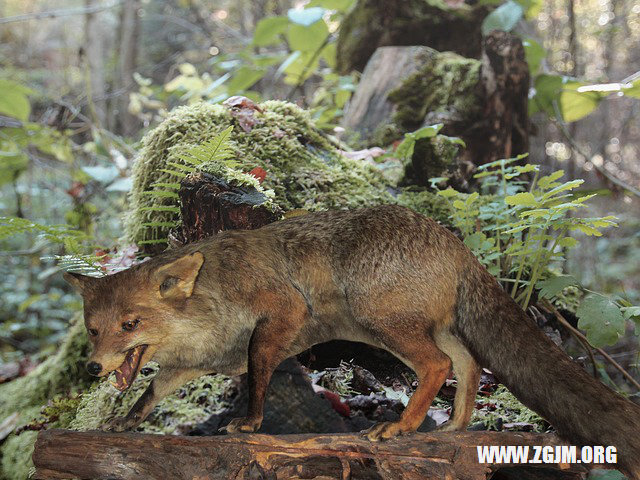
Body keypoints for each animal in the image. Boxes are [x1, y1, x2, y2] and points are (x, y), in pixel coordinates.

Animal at [66, 204, 640, 478]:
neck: (212, 298)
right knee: (468, 364)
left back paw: (402, 426)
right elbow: (151, 391)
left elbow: (258, 371)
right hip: (421, 327)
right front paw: (124, 422)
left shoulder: (280, 313)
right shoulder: (193, 362)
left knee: (437, 366)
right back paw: (454, 426)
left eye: (130, 325)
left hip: (383, 323)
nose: (92, 369)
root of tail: (453, 241)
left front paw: (248, 422)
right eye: (94, 330)